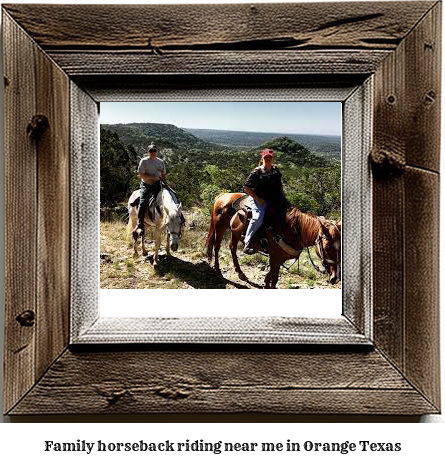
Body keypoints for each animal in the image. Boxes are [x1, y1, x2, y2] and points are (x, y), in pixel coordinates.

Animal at [205, 191, 340, 286]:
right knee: (217, 247)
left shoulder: (279, 258)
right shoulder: (275, 256)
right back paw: (218, 270)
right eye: (327, 247)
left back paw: (241, 274)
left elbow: (270, 278)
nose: (335, 278)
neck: (292, 229)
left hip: (235, 233)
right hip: (220, 227)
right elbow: (273, 279)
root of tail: (222, 196)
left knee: (232, 247)